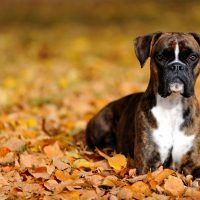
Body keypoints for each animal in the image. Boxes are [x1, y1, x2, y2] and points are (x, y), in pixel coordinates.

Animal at [86, 31, 200, 177]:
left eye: (192, 57)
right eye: (160, 57)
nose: (177, 66)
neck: (172, 105)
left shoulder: (192, 164)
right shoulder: (148, 165)